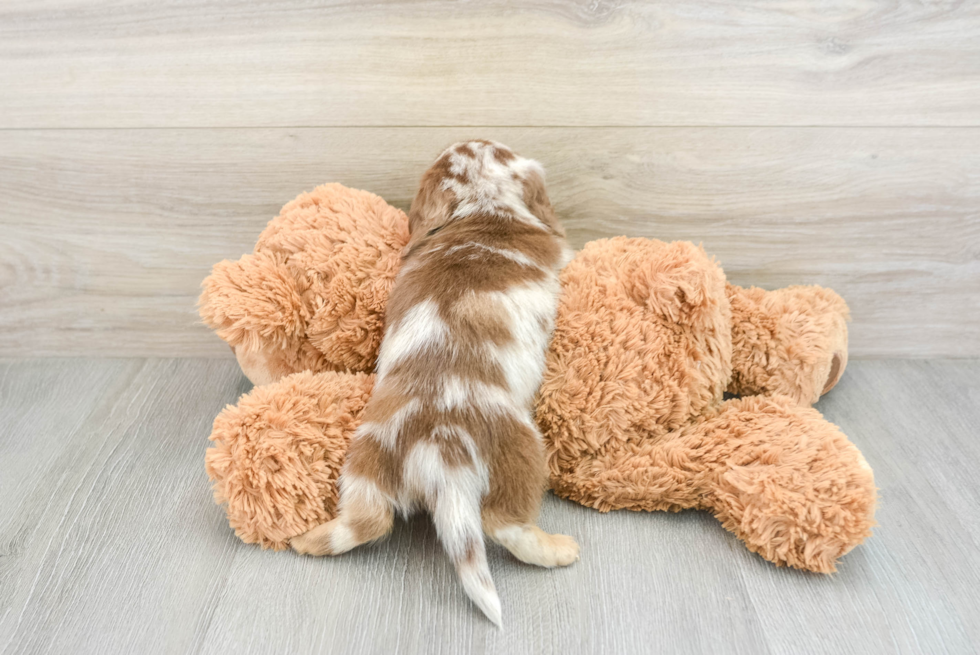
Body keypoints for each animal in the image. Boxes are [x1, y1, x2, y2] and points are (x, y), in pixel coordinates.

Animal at [290, 140, 580, 624]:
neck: (483, 207)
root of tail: (439, 446)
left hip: (366, 458)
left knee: (366, 523)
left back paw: (304, 541)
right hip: (522, 448)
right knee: (506, 525)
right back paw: (560, 549)